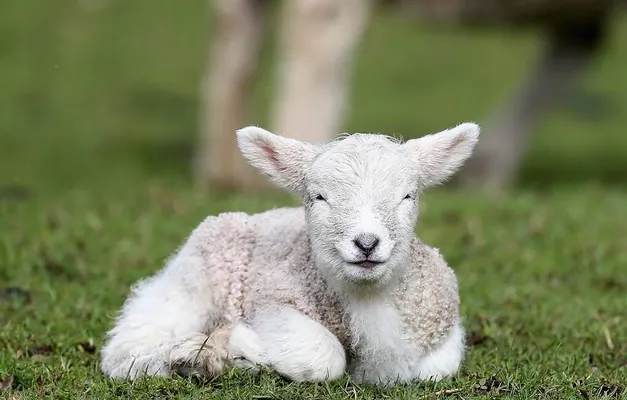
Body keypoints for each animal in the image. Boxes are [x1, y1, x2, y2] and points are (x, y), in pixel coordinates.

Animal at [100, 121, 480, 384]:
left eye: (407, 196)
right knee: (128, 348)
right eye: (319, 197)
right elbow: (322, 357)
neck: (365, 298)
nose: (367, 243)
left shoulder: (441, 329)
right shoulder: (274, 302)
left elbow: (434, 368)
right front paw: (239, 345)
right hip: (192, 281)